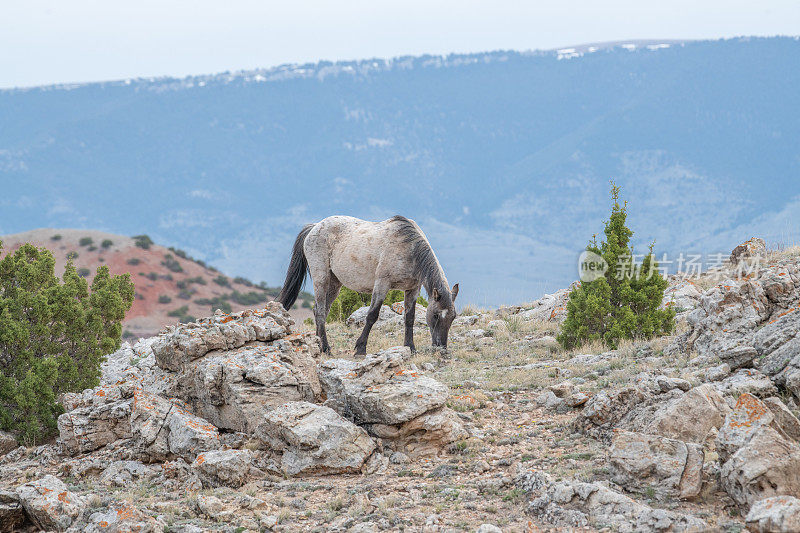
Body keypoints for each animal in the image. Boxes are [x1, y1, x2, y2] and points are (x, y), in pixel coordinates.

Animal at [278, 214, 460, 356]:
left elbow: (410, 318)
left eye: (453, 317)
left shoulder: (412, 289)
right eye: (435, 315)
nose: (441, 349)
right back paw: (327, 349)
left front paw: (411, 348)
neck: (408, 249)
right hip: (321, 277)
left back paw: (319, 345)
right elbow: (372, 315)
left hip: (335, 284)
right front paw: (360, 348)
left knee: (319, 310)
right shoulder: (382, 284)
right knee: (321, 312)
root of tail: (314, 227)